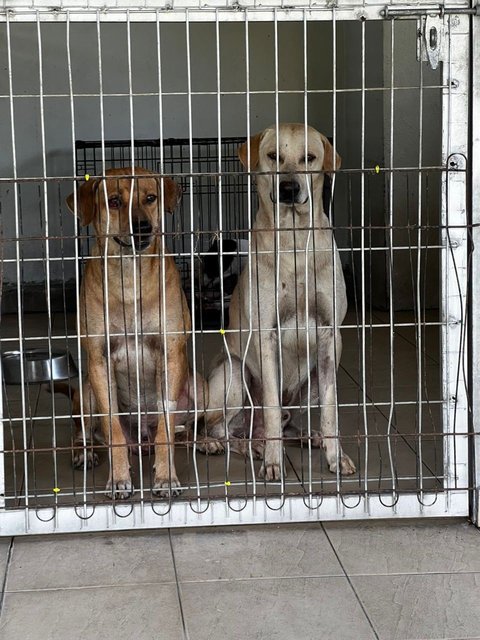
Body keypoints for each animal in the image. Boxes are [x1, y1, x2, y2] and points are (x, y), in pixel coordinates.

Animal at [66, 168, 203, 498]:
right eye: (114, 201)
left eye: (150, 198)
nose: (143, 226)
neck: (131, 272)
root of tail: (141, 440)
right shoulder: (99, 361)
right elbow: (113, 428)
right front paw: (118, 478)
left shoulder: (171, 355)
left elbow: (166, 430)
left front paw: (166, 478)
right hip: (86, 391)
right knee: (82, 431)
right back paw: (83, 453)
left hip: (199, 386)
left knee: (183, 431)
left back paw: (208, 442)